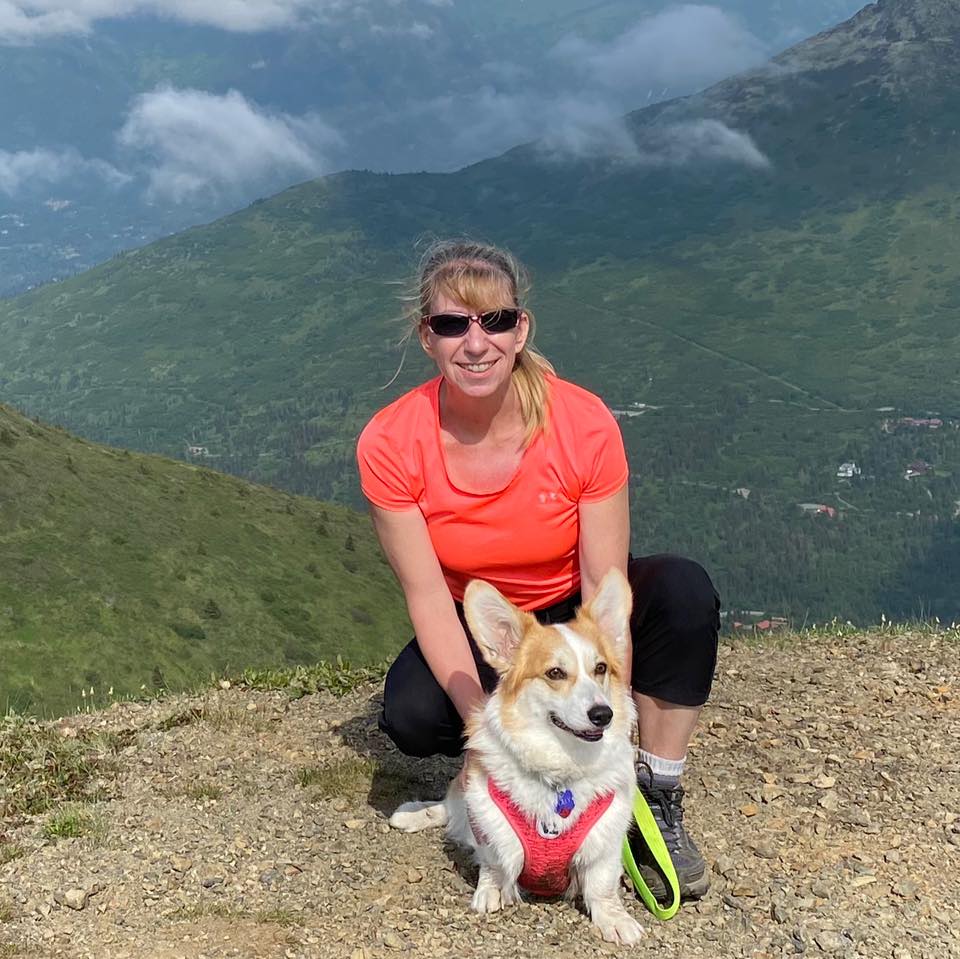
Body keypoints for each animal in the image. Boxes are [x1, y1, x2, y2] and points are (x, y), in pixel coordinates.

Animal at [386, 568, 640, 944]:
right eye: (554, 673)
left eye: (601, 668)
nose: (602, 714)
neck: (560, 770)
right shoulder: (489, 821)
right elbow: (494, 863)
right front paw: (491, 892)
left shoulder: (606, 838)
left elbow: (602, 884)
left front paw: (615, 919)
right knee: (450, 807)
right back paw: (412, 815)